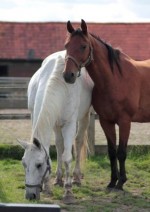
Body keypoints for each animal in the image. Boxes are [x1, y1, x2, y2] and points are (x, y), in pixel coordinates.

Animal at [18, 50, 93, 204]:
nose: (30, 195)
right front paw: (48, 187)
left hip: (84, 118)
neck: (58, 85)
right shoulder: (42, 119)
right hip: (57, 125)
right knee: (59, 145)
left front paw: (68, 192)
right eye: (24, 163)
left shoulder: (69, 124)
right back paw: (58, 179)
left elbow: (67, 157)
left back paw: (76, 177)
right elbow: (52, 150)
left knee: (78, 142)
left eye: (39, 165)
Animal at [62, 19, 150, 190]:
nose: (68, 75)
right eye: (66, 45)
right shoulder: (106, 121)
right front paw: (112, 181)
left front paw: (121, 182)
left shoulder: (125, 121)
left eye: (83, 46)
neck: (115, 79)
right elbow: (112, 152)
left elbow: (121, 152)